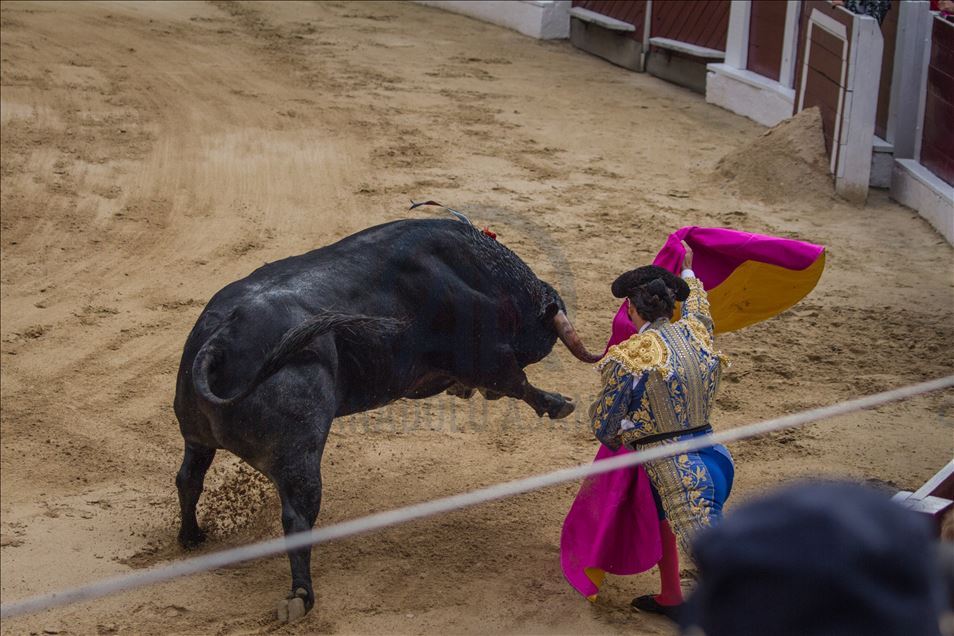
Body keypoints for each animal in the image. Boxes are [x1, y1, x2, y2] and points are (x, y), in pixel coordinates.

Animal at [173, 219, 596, 620]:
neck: (481, 273)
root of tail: (220, 340)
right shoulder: (487, 355)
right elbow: (516, 381)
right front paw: (557, 403)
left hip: (196, 437)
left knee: (189, 479)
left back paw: (191, 536)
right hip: (299, 454)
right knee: (297, 516)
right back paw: (300, 596)